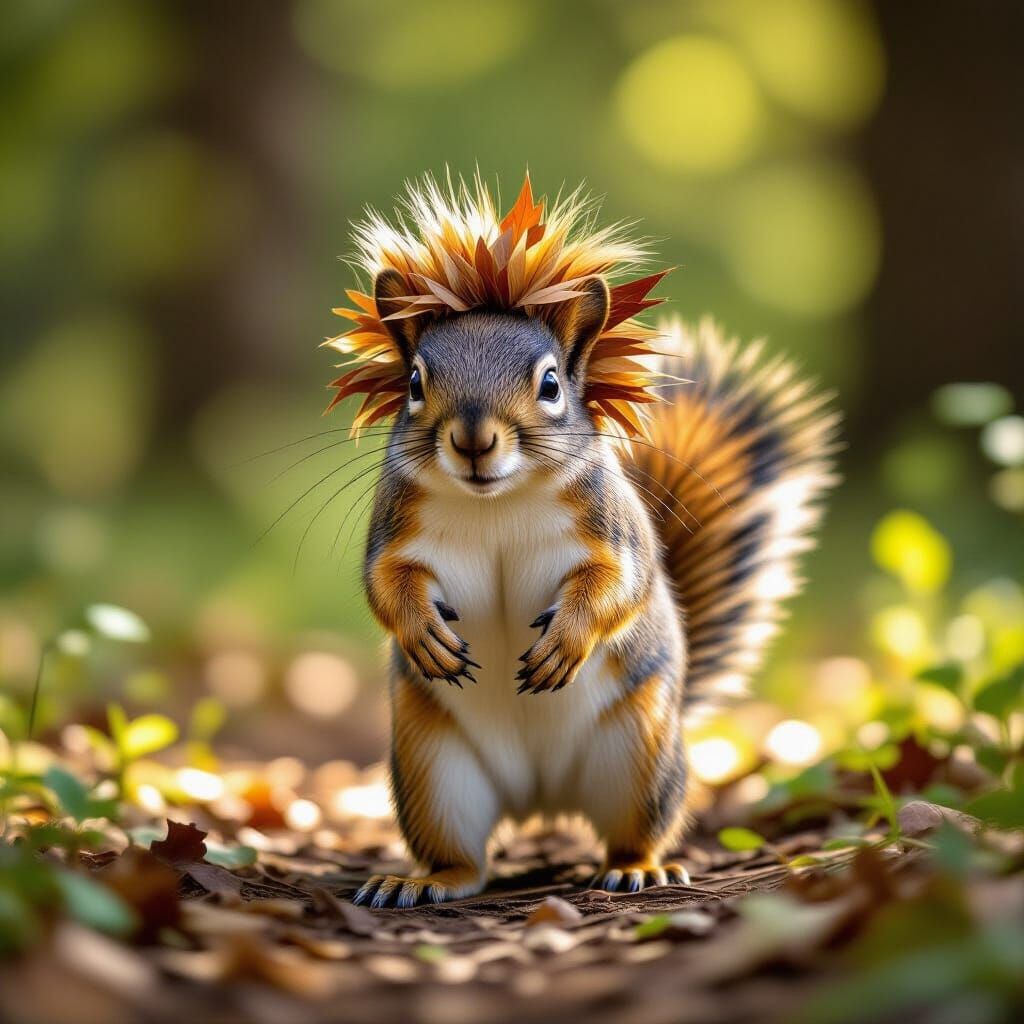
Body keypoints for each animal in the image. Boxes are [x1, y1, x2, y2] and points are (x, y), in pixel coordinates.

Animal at [322, 174, 838, 908]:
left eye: (550, 384)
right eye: (416, 382)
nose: (473, 439)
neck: (498, 503)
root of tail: (540, 799)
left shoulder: (613, 529)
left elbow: (620, 584)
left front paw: (567, 638)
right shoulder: (394, 528)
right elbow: (385, 583)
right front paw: (422, 632)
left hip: (640, 757)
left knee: (633, 830)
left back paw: (637, 868)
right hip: (433, 770)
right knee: (463, 858)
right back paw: (419, 880)